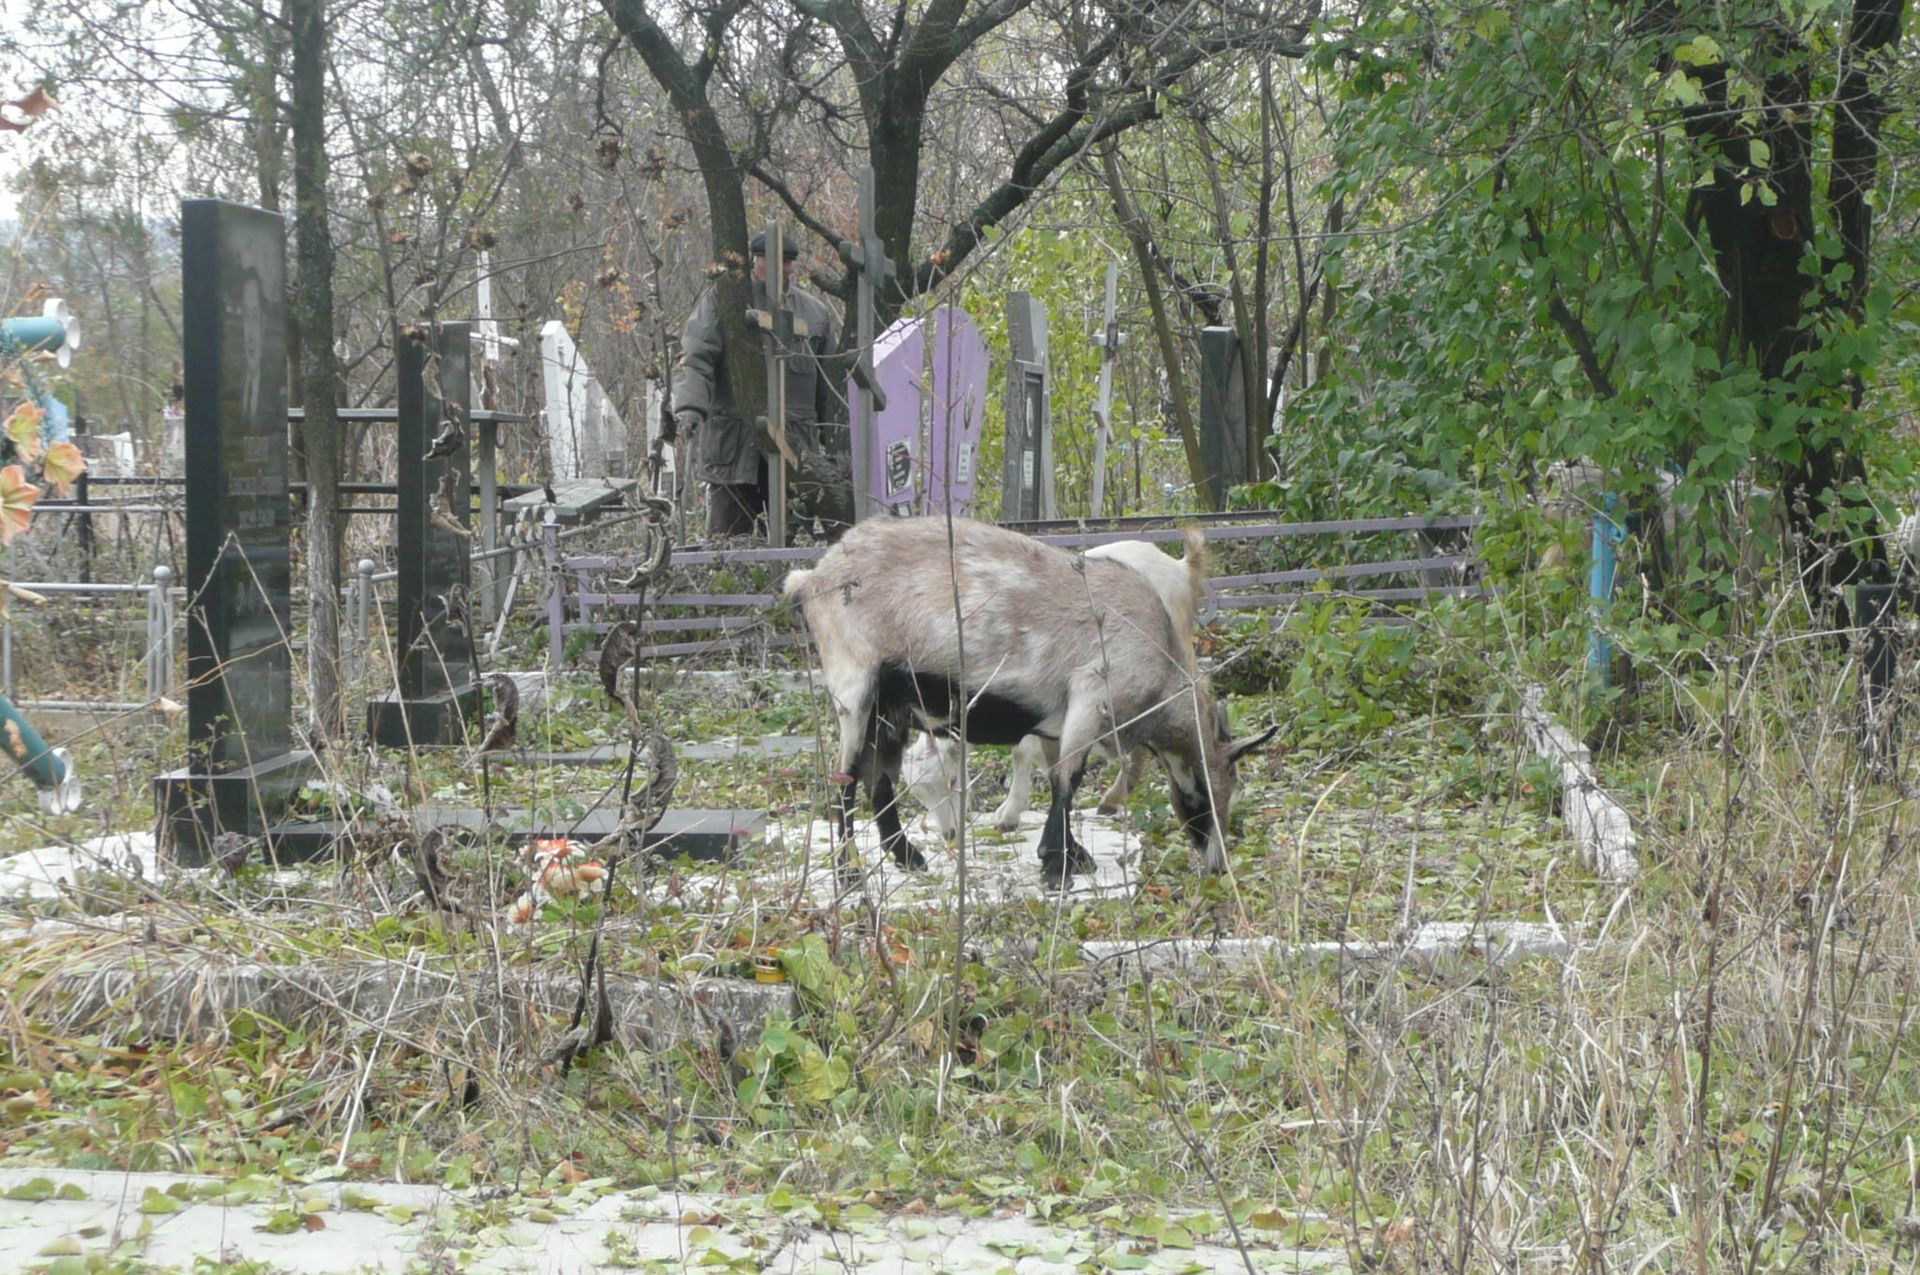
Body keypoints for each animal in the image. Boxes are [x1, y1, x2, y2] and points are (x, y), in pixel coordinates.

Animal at [779, 514, 1274, 883]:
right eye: (1210, 792)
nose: (1217, 865)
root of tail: (811, 579)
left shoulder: (1056, 721)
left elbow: (1056, 775)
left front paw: (1069, 852)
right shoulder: (1090, 697)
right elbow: (1068, 780)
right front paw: (1059, 863)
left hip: (891, 706)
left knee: (878, 778)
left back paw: (908, 858)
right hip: (855, 685)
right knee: (845, 778)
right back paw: (848, 872)